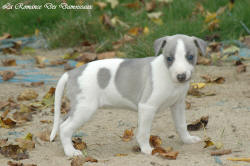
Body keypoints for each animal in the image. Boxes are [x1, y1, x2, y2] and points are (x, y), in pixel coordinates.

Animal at [49, 34, 207, 157]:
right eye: (169, 58)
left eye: (190, 56)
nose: (181, 76)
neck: (168, 76)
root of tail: (71, 73)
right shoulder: (147, 107)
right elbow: (144, 132)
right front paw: (147, 149)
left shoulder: (178, 105)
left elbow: (181, 125)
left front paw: (187, 140)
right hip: (85, 108)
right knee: (65, 128)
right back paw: (71, 152)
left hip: (78, 107)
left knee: (63, 122)